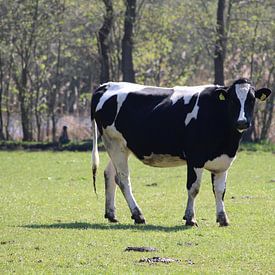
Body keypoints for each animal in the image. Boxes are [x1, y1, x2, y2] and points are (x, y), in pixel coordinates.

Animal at [91, 78, 272, 227]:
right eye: (233, 100)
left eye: (251, 99)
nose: (242, 122)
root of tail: (106, 85)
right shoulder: (195, 158)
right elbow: (194, 188)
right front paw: (190, 218)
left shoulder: (223, 161)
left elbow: (220, 190)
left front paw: (223, 218)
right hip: (115, 144)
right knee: (122, 179)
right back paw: (138, 215)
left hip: (120, 147)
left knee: (109, 174)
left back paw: (111, 214)